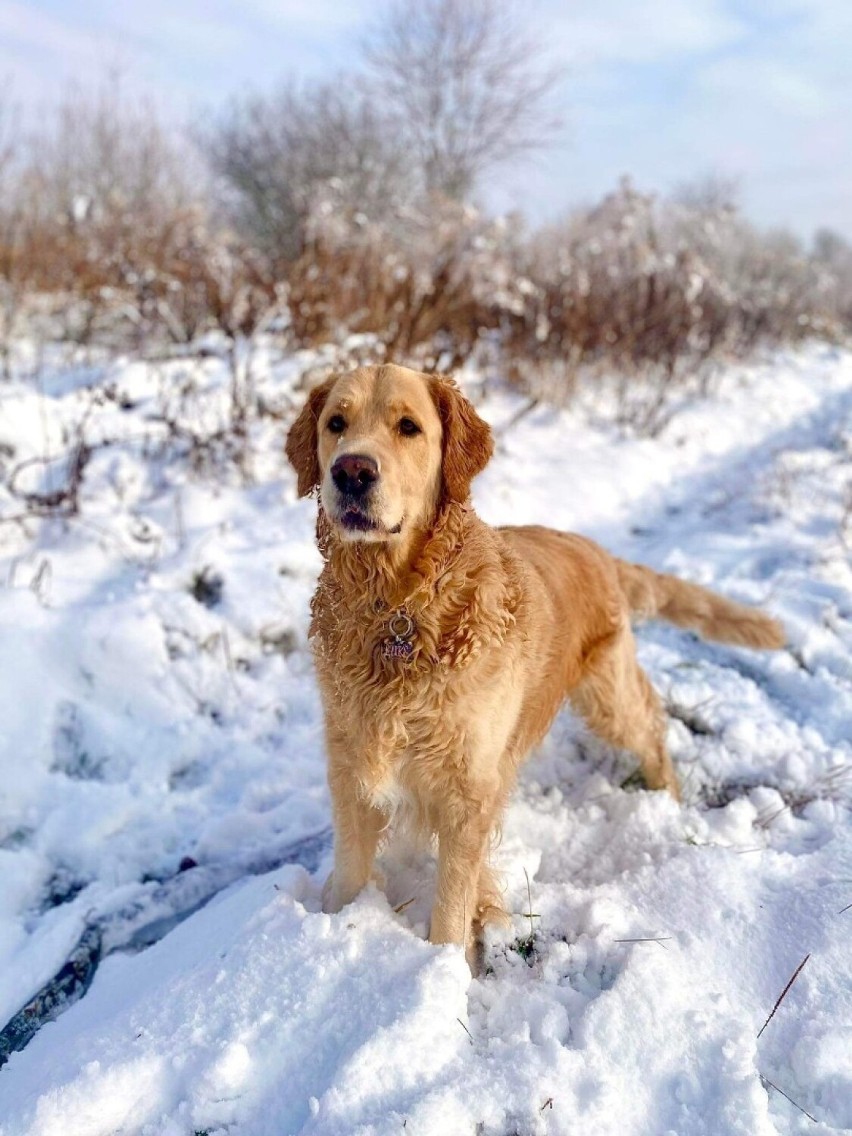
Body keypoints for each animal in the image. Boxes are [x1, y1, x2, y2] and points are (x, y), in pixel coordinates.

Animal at [288, 363, 786, 967]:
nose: (352, 471)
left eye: (408, 427)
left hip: (608, 698)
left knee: (652, 725)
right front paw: (332, 937)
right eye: (336, 424)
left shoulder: (466, 790)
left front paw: (445, 968)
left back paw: (665, 796)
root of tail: (597, 551)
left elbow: (450, 906)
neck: (398, 608)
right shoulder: (352, 767)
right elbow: (351, 874)